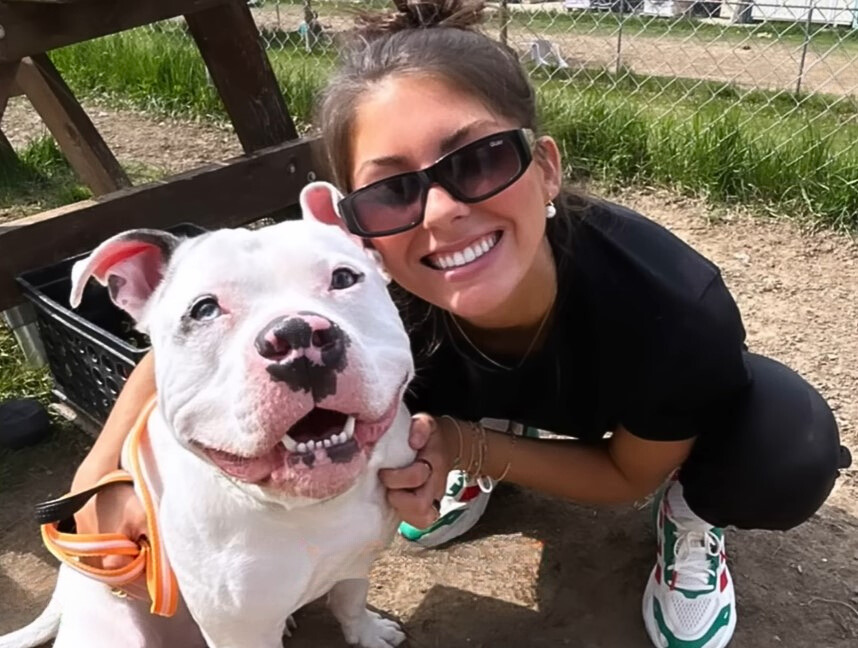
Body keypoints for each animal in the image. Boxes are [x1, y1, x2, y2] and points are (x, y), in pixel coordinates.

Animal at [0, 182, 414, 648]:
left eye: (343, 278)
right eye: (204, 309)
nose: (295, 336)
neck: (311, 507)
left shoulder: (356, 558)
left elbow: (351, 596)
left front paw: (367, 632)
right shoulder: (239, 630)